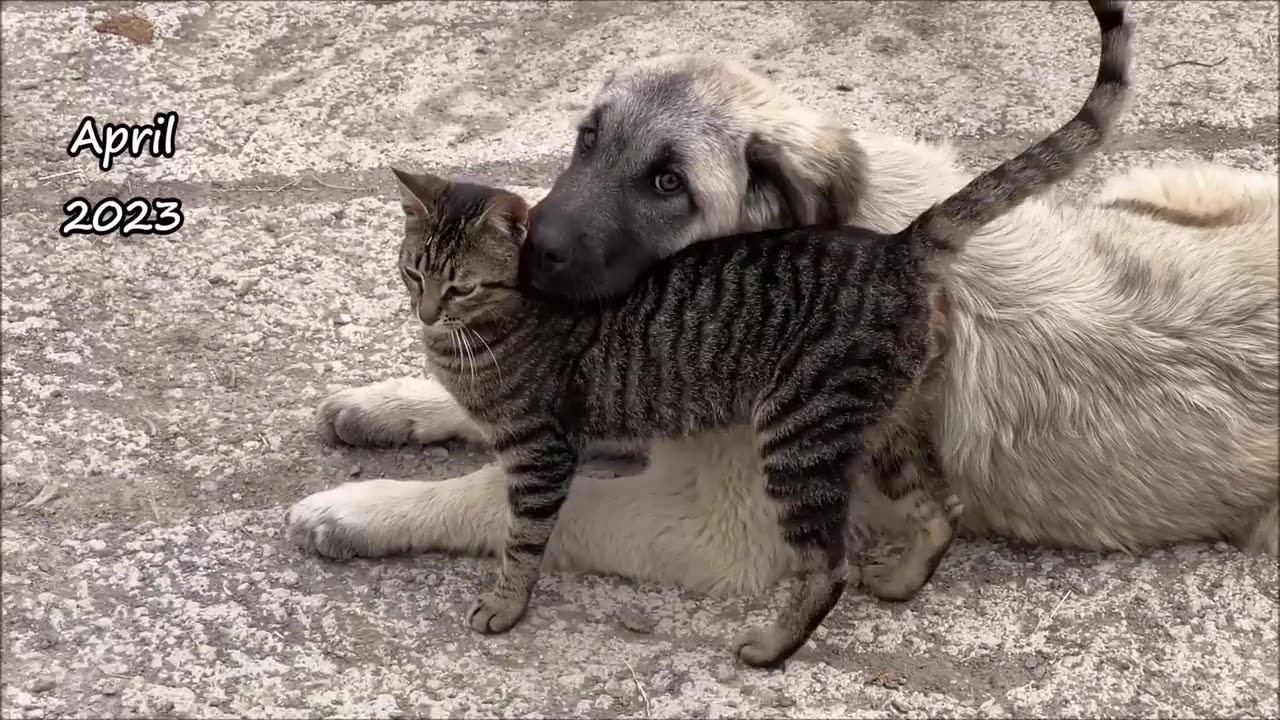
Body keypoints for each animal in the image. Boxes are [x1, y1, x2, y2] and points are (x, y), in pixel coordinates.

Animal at [386, 0, 1131, 666]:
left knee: (827, 565)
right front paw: (383, 409)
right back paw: (901, 579)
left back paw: (772, 647)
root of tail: (899, 246)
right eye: (587, 138)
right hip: (881, 425)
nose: (539, 246)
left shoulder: (617, 478)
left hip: (798, 436)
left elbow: (509, 519)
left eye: (669, 182)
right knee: (940, 505)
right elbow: (453, 414)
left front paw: (483, 588)